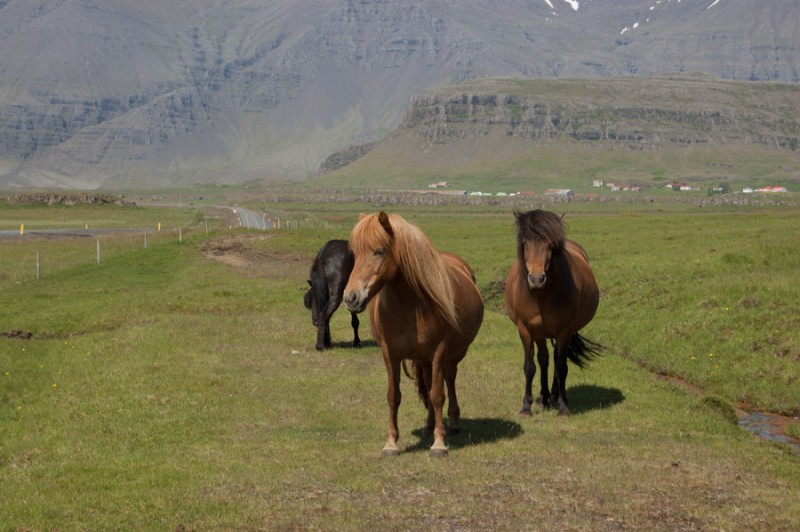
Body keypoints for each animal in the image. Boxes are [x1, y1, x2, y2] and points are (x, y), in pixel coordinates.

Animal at [343, 212, 484, 457]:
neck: (409, 305)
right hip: (424, 359)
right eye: (355, 254)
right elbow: (394, 396)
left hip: (452, 355)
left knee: (449, 379)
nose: (351, 297)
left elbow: (437, 395)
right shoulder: (390, 354)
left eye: (378, 251)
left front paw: (439, 444)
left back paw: (452, 423)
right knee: (428, 384)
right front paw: (391, 444)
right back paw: (429, 426)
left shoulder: (438, 351)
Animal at [504, 209, 601, 416]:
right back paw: (544, 398)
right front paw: (526, 406)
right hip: (540, 333)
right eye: (525, 243)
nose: (536, 279)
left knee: (556, 359)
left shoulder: (565, 331)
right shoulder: (526, 330)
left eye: (550, 245)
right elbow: (530, 367)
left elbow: (562, 366)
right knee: (544, 360)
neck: (541, 296)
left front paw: (563, 407)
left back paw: (555, 395)